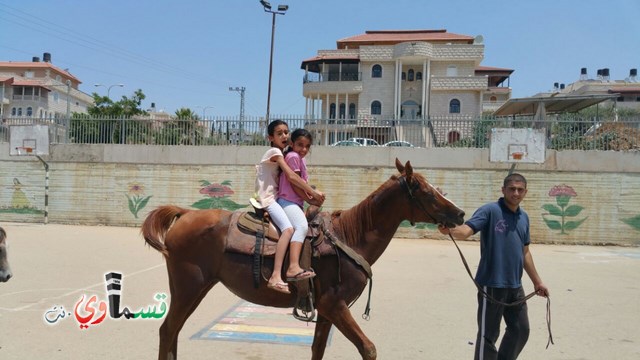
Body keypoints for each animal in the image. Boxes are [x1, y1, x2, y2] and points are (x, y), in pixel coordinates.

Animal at [142, 160, 462, 360]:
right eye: (425, 190)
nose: (459, 214)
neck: (348, 236)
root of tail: (185, 214)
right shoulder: (334, 305)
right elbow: (368, 348)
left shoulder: (327, 310)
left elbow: (317, 349)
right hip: (188, 287)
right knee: (167, 330)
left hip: (196, 289)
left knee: (174, 331)